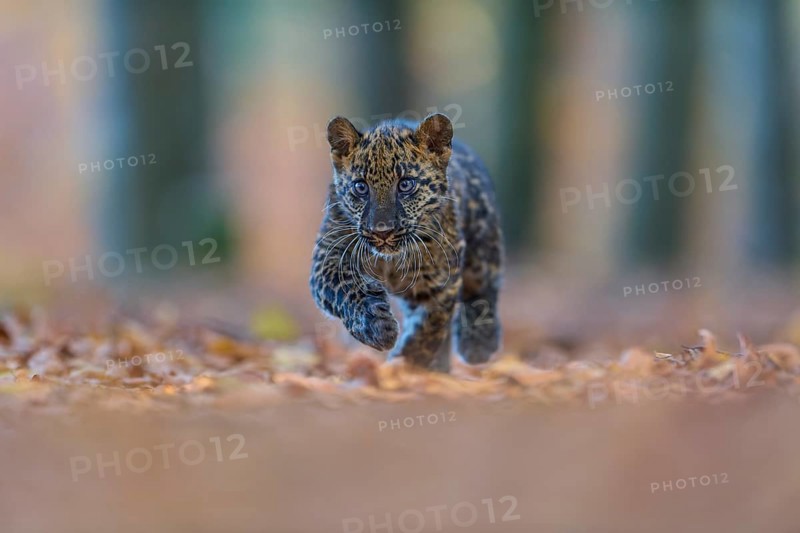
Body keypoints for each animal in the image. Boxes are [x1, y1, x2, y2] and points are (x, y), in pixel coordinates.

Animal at [309, 113, 503, 372]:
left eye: (405, 185)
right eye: (360, 187)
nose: (382, 231)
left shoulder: (441, 280)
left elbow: (432, 323)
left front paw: (409, 362)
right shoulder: (329, 256)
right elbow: (346, 288)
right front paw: (376, 326)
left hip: (482, 254)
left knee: (483, 290)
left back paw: (478, 345)